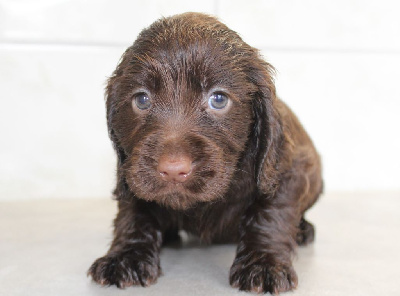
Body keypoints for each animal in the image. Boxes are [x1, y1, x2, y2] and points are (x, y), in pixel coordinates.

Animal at [87, 12, 322, 294]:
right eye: (141, 100)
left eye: (218, 99)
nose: (173, 170)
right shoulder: (130, 169)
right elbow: (134, 212)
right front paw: (126, 256)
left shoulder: (288, 169)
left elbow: (270, 212)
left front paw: (263, 263)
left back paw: (303, 230)